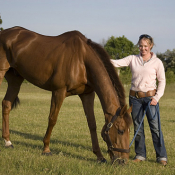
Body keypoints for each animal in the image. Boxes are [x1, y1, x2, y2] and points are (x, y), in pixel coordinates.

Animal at [0, 27, 131, 164]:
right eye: (121, 131)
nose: (124, 161)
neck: (81, 60)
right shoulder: (59, 91)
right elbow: (52, 119)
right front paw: (46, 149)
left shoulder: (87, 95)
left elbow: (92, 124)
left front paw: (99, 156)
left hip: (15, 80)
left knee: (6, 104)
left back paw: (8, 141)